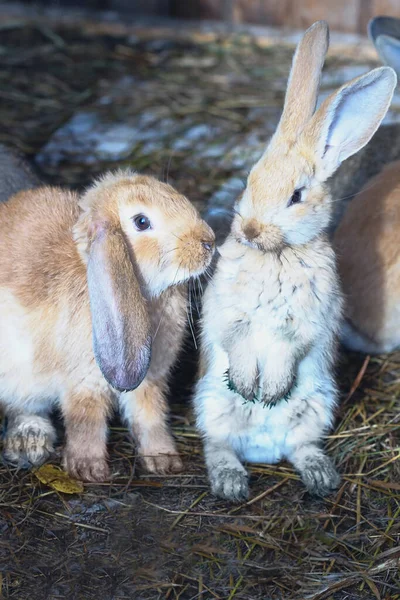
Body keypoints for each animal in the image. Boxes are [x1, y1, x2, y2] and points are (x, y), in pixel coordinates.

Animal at [194, 21, 396, 502]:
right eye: (249, 180)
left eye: (296, 196)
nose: (249, 230)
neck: (276, 255)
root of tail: (263, 451)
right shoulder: (229, 312)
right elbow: (237, 339)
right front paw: (250, 385)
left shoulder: (308, 319)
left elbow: (288, 346)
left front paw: (269, 390)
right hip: (210, 406)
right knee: (217, 446)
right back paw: (232, 482)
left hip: (318, 404)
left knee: (300, 445)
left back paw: (320, 476)